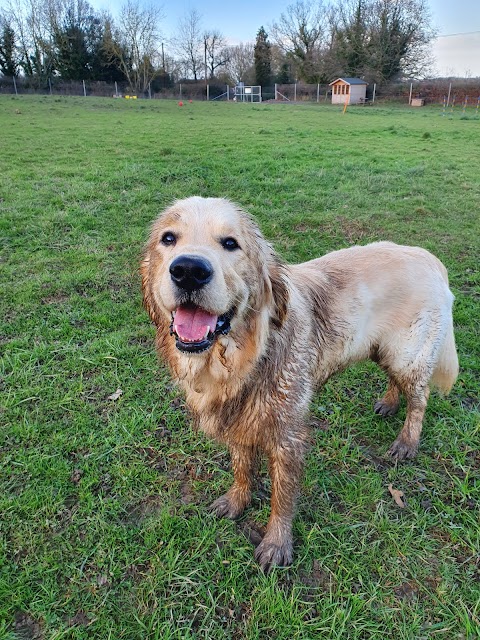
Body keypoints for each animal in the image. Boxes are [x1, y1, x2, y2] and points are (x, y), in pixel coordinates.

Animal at [141, 196, 460, 568]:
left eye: (231, 243)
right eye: (168, 238)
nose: (189, 270)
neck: (249, 354)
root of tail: (428, 257)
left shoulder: (287, 435)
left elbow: (282, 495)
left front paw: (277, 543)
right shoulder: (238, 420)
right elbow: (241, 467)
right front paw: (237, 500)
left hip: (408, 355)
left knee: (420, 399)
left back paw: (407, 441)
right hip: (383, 350)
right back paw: (388, 402)